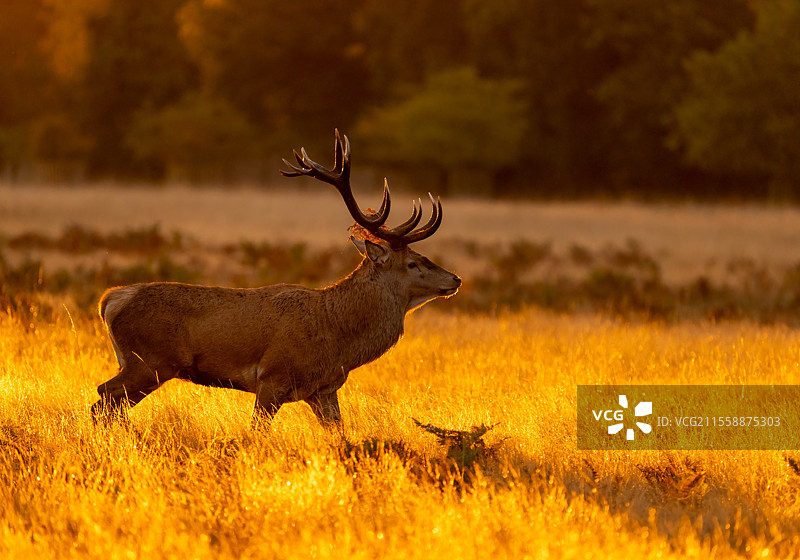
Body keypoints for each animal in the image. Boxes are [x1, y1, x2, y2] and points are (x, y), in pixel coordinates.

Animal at [92, 130, 461, 428]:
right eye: (413, 262)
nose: (455, 279)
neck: (339, 337)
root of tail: (110, 300)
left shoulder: (323, 390)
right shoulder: (273, 377)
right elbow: (256, 432)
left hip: (139, 363)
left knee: (108, 404)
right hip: (150, 361)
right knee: (103, 398)